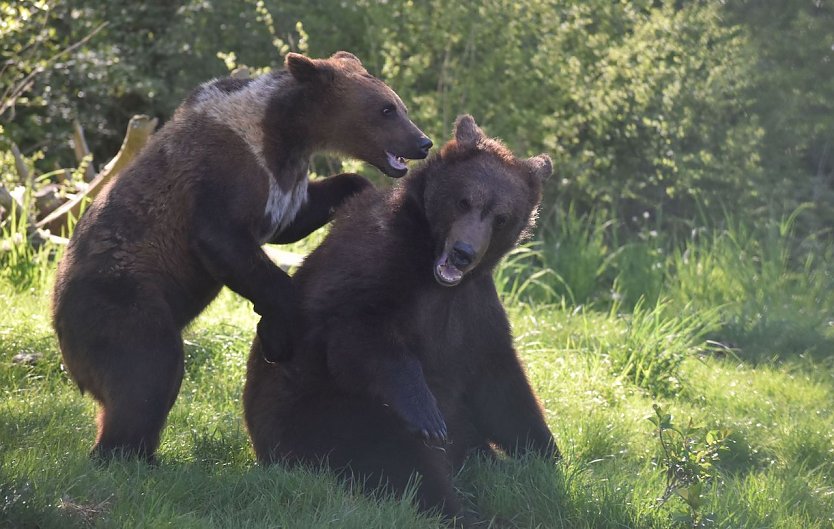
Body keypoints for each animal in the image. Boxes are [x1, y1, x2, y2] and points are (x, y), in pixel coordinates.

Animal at [52, 51, 432, 460]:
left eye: (398, 106)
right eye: (386, 109)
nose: (423, 142)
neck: (285, 133)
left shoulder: (284, 186)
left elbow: (298, 215)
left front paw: (360, 194)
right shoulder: (221, 174)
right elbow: (226, 241)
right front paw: (276, 333)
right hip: (121, 299)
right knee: (148, 369)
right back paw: (125, 453)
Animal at [244, 114, 564, 520]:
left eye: (501, 217)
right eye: (464, 200)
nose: (463, 253)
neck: (433, 272)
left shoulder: (474, 310)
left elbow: (501, 384)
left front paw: (549, 457)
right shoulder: (380, 267)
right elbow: (356, 332)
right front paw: (426, 413)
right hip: (329, 420)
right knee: (403, 465)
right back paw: (458, 509)